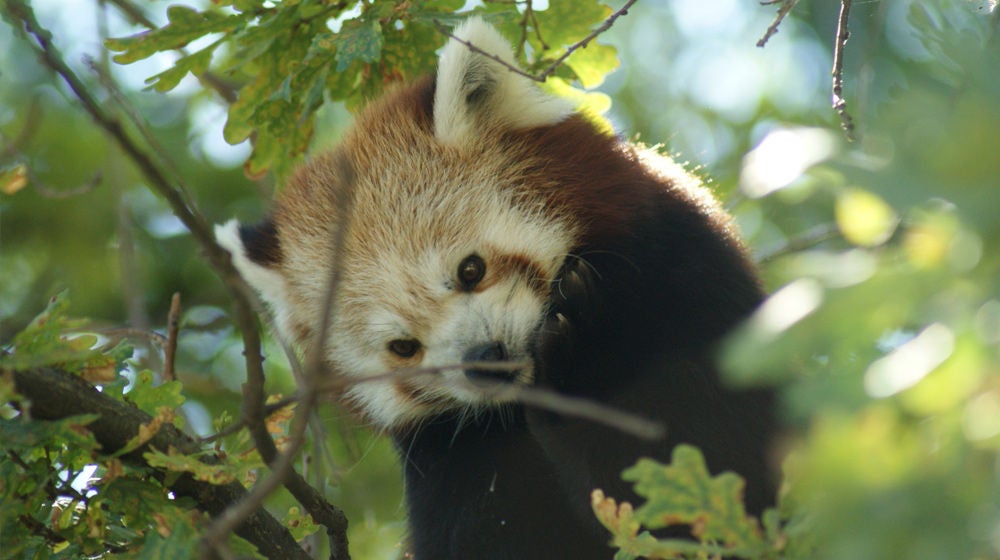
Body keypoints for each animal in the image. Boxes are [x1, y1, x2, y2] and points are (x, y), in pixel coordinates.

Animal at [217, 17, 776, 560]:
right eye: (403, 347)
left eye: (471, 270)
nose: (485, 360)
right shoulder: (451, 460)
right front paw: (582, 369)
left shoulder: (694, 288)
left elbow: (715, 470)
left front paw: (591, 361)